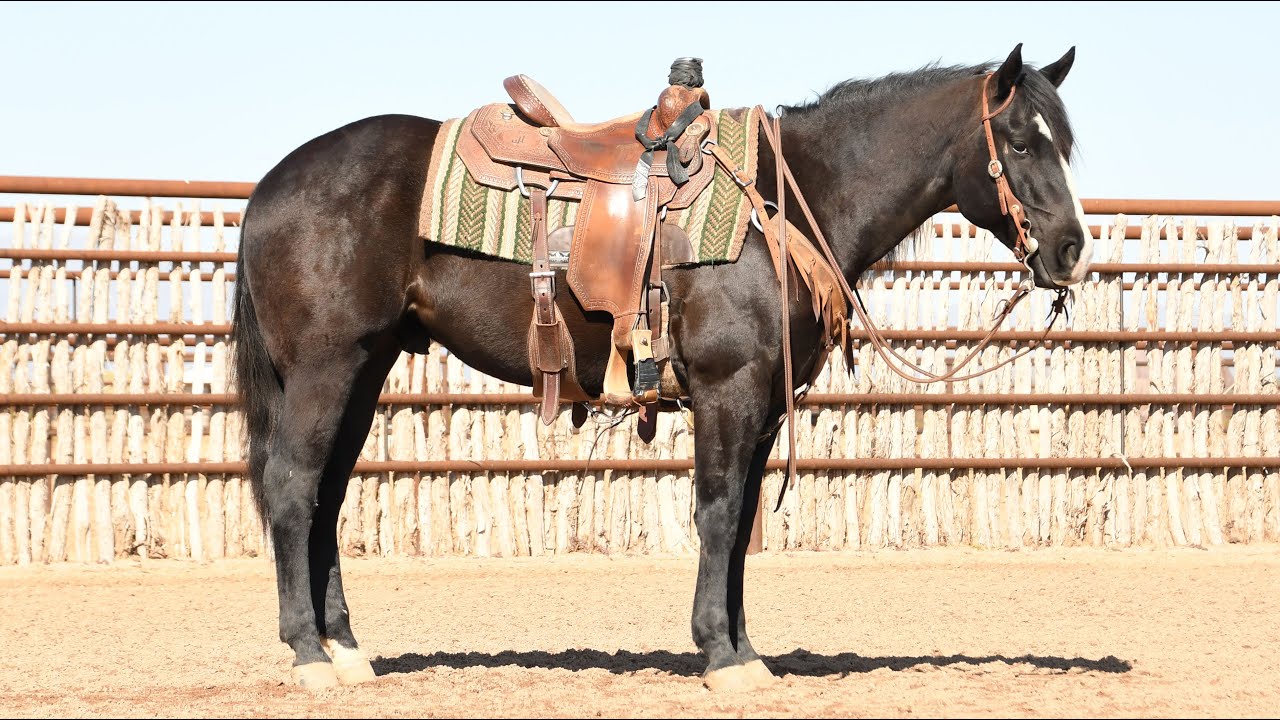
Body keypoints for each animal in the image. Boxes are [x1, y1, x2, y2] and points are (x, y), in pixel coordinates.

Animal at [231, 43, 1093, 692]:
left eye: (1065, 142)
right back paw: (308, 653)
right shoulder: (727, 390)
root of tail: (271, 186)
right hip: (325, 368)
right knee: (294, 488)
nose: (1069, 250)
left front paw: (745, 651)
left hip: (364, 367)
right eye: (1021, 143)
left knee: (327, 498)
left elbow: (741, 523)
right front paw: (720, 653)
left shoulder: (761, 405)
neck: (785, 201)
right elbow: (716, 512)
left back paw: (346, 650)